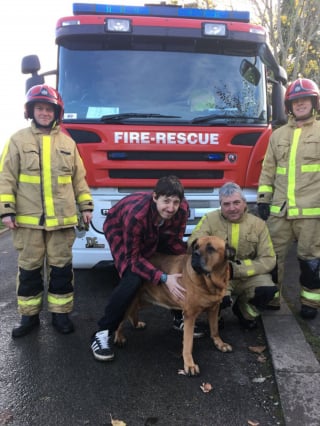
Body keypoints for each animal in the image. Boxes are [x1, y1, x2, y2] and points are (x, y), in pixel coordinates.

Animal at [115, 236, 235, 376]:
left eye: (210, 248)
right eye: (196, 247)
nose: (195, 254)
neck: (209, 282)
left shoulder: (214, 308)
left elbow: (215, 330)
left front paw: (220, 344)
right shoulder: (189, 315)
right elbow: (188, 343)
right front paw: (189, 364)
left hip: (146, 300)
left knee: (133, 310)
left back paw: (136, 323)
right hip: (132, 299)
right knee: (120, 318)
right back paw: (119, 337)